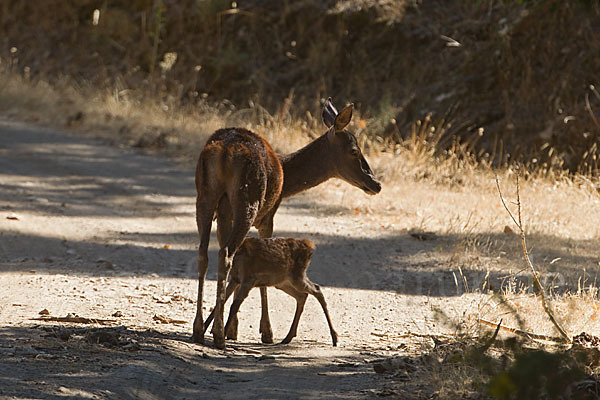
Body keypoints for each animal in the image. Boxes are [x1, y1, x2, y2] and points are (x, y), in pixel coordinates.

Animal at [204, 238, 338, 346]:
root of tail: (309, 246)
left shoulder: (249, 279)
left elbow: (234, 305)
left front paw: (222, 335)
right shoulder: (235, 279)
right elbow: (221, 301)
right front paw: (205, 328)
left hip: (297, 276)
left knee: (317, 289)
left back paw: (335, 338)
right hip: (282, 281)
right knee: (302, 296)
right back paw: (287, 338)